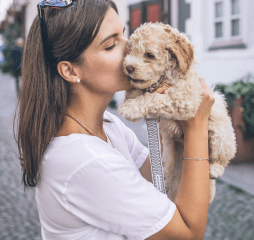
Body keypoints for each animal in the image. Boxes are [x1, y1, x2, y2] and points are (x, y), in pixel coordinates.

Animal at [118, 22, 237, 202]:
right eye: (130, 50)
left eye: (150, 55)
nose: (128, 67)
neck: (164, 80)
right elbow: (142, 90)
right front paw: (131, 95)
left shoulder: (184, 100)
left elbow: (154, 98)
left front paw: (130, 108)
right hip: (171, 150)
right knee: (170, 168)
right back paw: (166, 183)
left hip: (222, 137)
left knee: (222, 157)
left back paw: (215, 169)